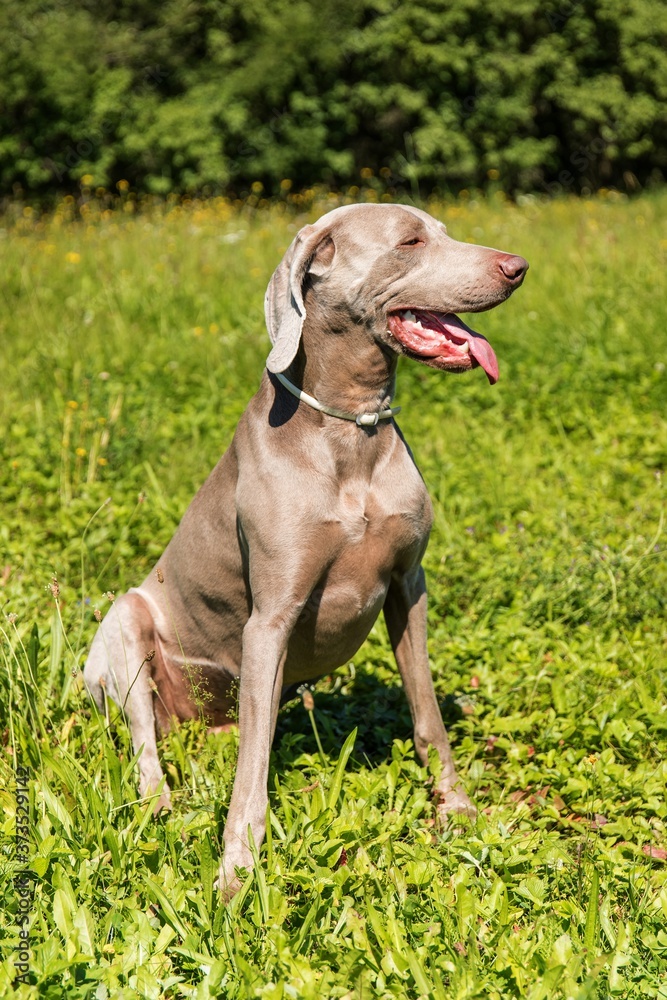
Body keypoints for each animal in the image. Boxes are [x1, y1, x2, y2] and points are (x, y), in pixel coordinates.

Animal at [85, 203, 528, 900]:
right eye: (410, 242)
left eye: (445, 231)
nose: (518, 267)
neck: (352, 431)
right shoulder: (269, 620)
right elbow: (251, 777)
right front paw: (236, 872)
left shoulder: (409, 584)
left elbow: (428, 715)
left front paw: (456, 809)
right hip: (123, 628)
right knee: (145, 742)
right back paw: (158, 803)